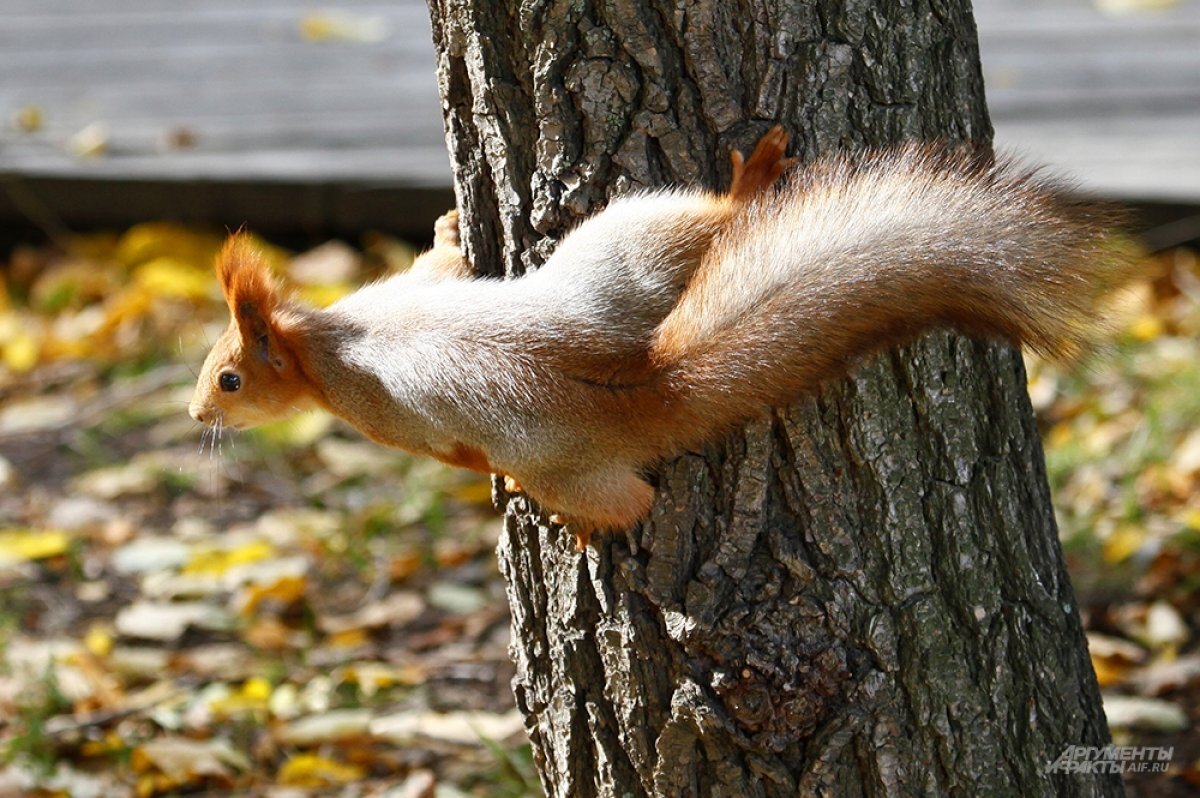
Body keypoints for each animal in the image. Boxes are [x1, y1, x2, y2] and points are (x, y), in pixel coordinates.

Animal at [187, 127, 1132, 547]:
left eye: (230, 379)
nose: (197, 415)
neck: (326, 336)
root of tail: (642, 382)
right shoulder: (407, 287)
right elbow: (444, 265)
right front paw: (451, 224)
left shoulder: (383, 412)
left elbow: (447, 450)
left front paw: (477, 474)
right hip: (628, 250)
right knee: (715, 219)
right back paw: (751, 183)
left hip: (570, 456)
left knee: (627, 503)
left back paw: (559, 514)